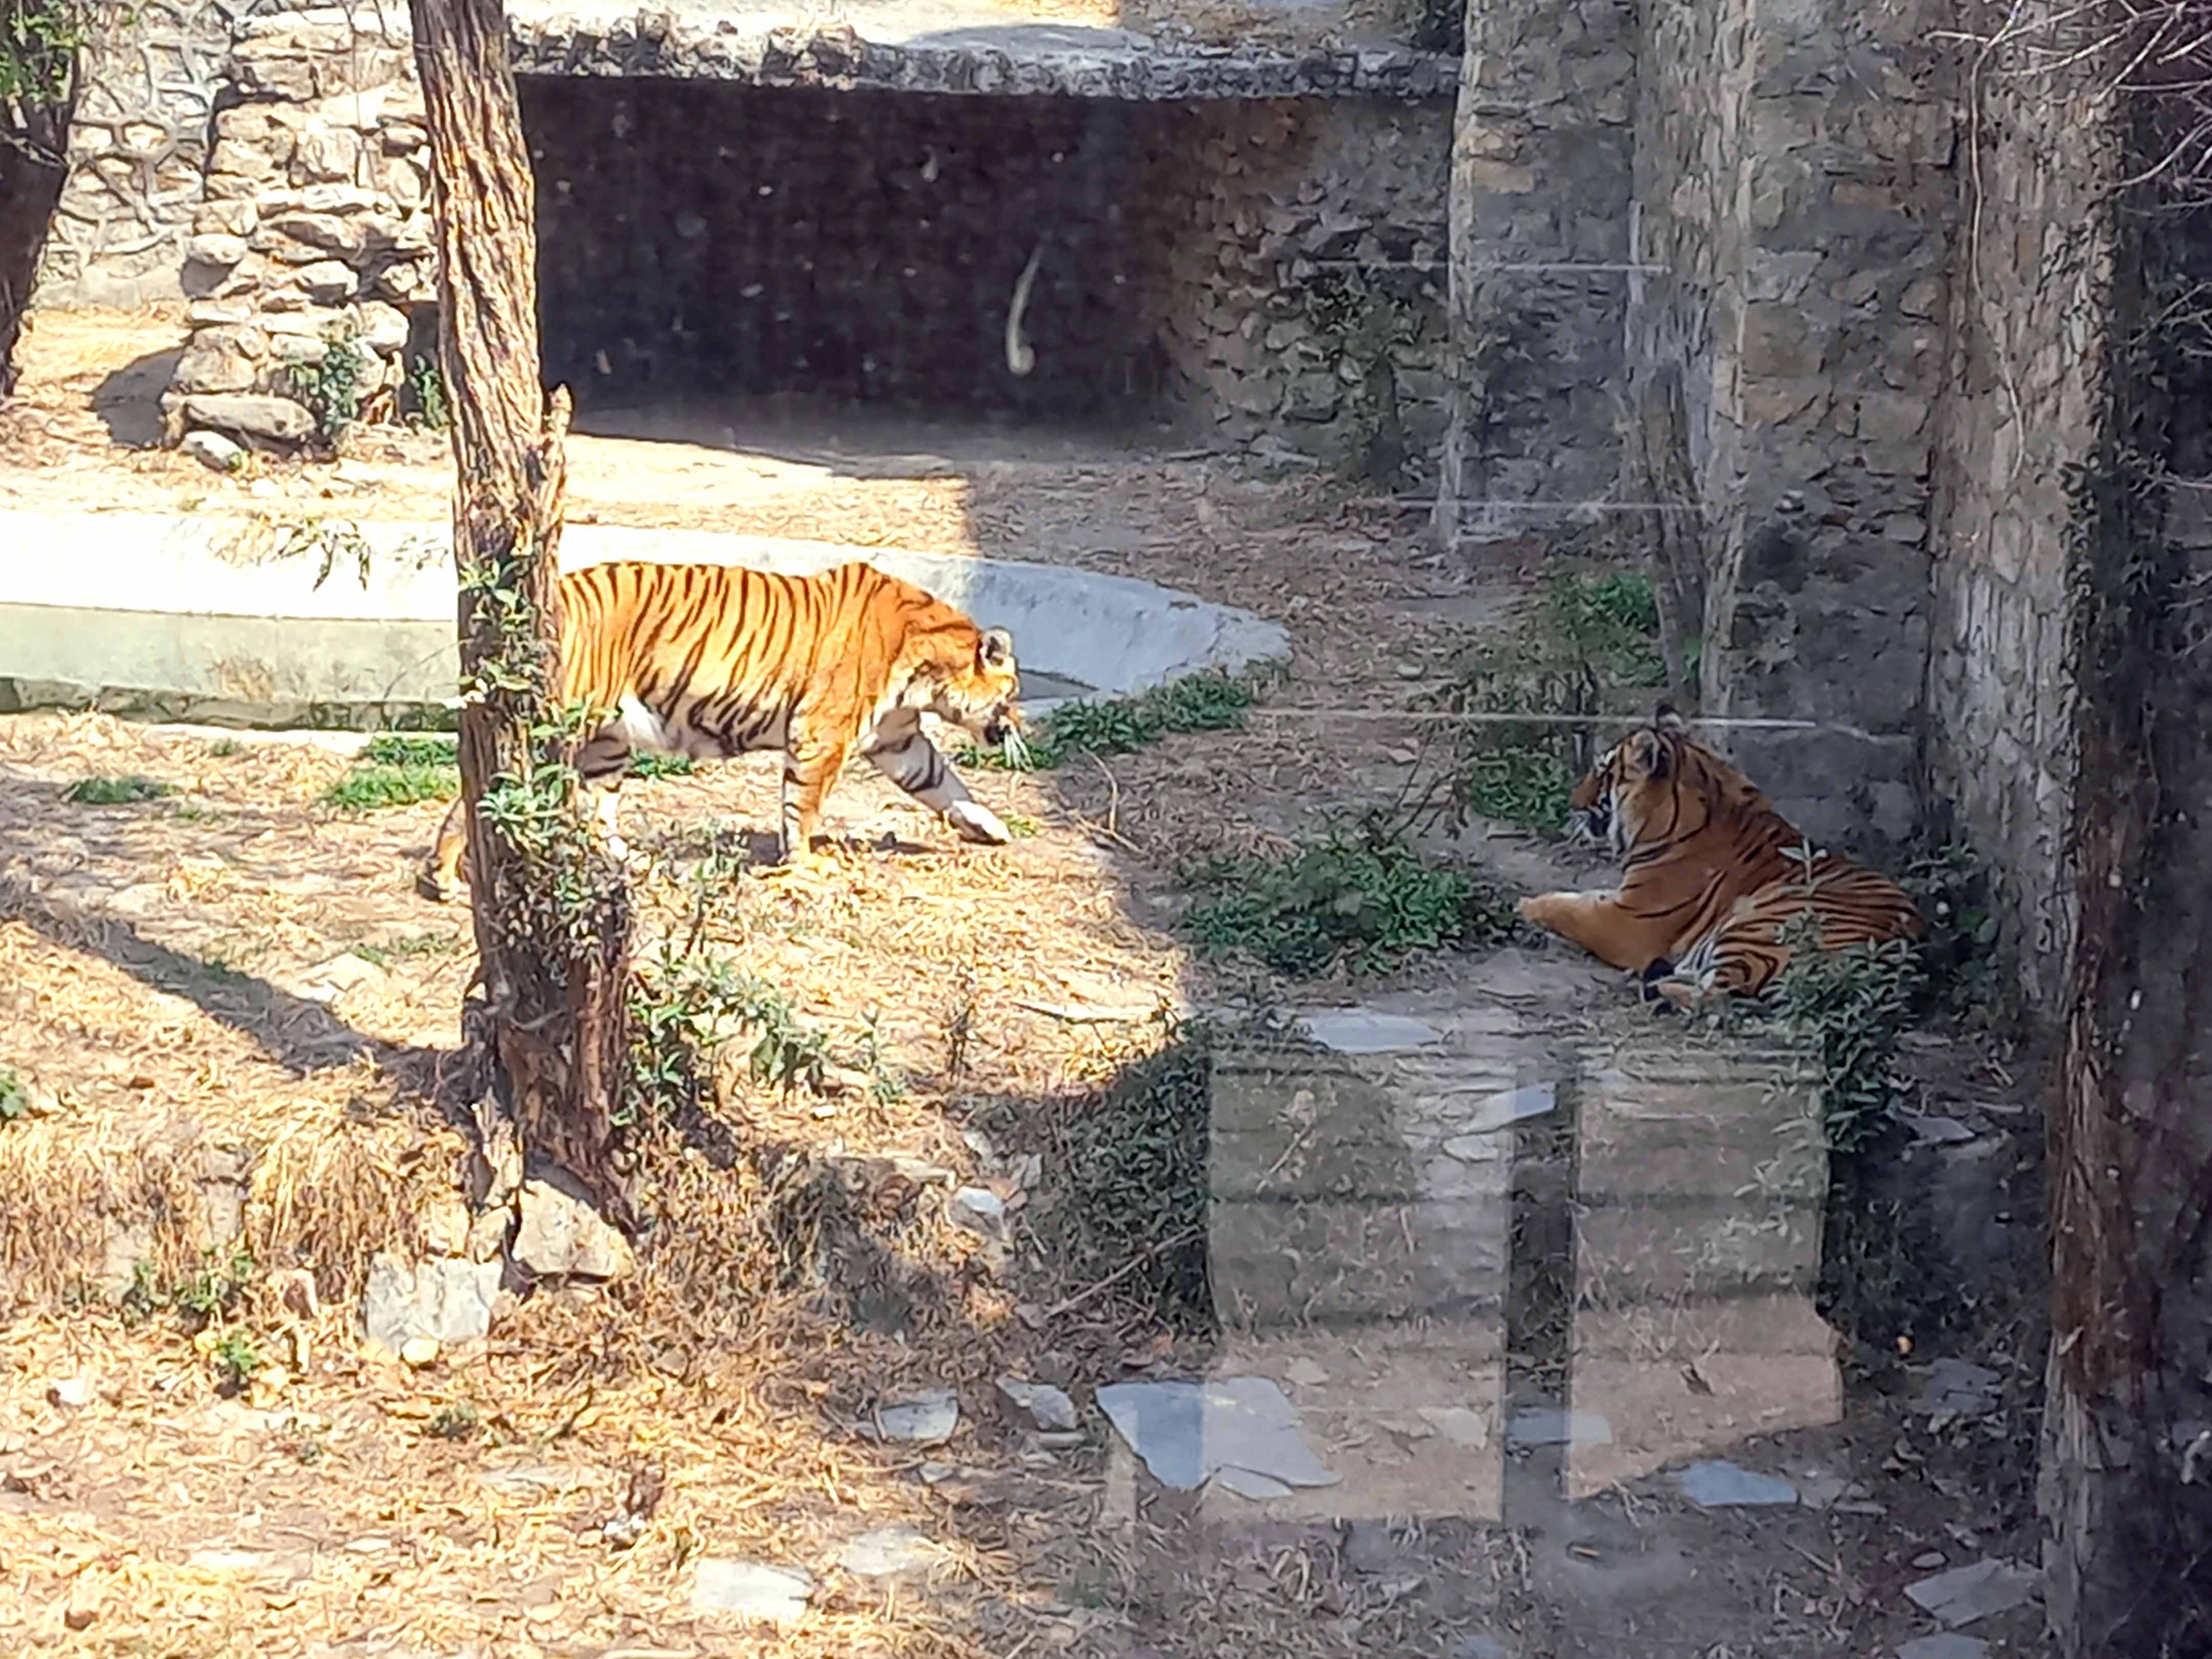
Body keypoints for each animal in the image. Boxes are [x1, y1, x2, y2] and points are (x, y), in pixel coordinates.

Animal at [418, 559, 1022, 902]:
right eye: (1014, 691)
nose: (1019, 727)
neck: (928, 670)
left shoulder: (899, 739)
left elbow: (945, 783)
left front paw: (989, 826)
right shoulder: (822, 736)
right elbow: (803, 807)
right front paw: (806, 863)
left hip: (608, 742)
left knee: (597, 815)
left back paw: (631, 862)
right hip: (565, 726)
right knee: (484, 789)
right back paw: (443, 876)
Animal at [1522, 708, 1920, 1008]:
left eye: (1603, 772)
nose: (1572, 800)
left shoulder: (1628, 922)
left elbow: (1572, 912)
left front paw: (1526, 905)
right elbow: (1580, 897)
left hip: (1756, 921)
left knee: (1715, 994)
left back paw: (1656, 985)